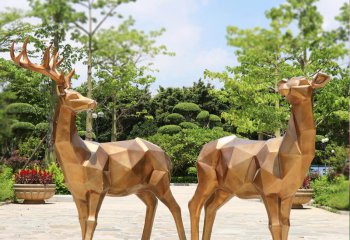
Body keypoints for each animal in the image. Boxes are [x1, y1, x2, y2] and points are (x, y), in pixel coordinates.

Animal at [10, 38, 186, 240]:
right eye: (72, 95)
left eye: (77, 91)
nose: (93, 102)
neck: (80, 158)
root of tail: (167, 156)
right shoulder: (76, 191)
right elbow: (81, 220)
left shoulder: (98, 187)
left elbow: (92, 221)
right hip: (140, 186)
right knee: (152, 204)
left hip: (161, 179)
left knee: (176, 207)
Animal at [189, 73, 330, 240]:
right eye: (289, 80)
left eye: (303, 81)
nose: (282, 85)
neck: (287, 158)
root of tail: (202, 150)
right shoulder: (267, 191)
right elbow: (274, 225)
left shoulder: (288, 194)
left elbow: (286, 225)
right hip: (206, 179)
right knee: (194, 205)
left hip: (225, 188)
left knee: (210, 207)